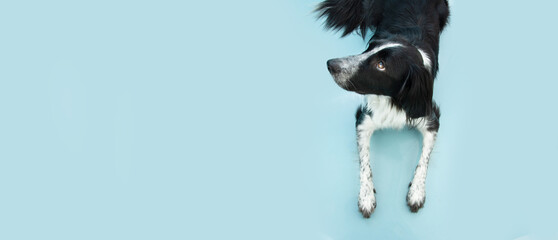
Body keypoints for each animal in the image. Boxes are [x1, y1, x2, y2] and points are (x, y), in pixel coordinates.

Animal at [318, 0, 452, 218]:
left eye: (381, 65)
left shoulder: (430, 116)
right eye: (368, 49)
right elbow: (365, 162)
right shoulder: (363, 119)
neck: (392, 99)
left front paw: (416, 192)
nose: (331, 64)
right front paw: (366, 197)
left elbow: (424, 159)